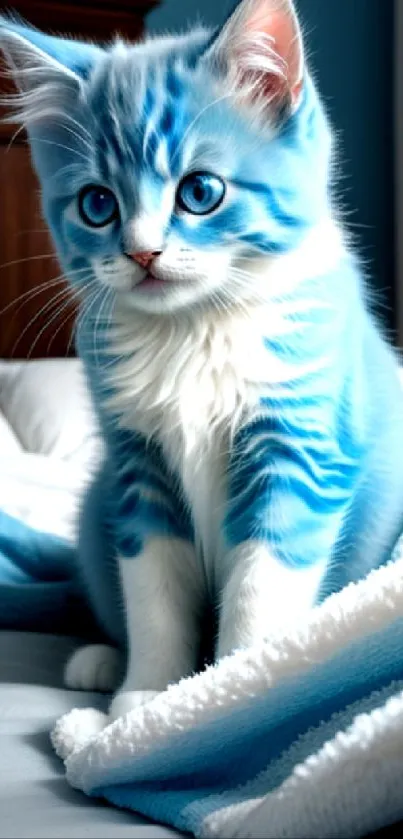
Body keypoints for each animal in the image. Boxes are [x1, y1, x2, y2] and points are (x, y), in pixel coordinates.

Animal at [0, 0, 403, 720]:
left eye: (200, 192)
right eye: (97, 204)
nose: (142, 252)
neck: (194, 329)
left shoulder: (297, 446)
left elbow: (261, 587)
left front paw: (224, 694)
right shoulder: (136, 467)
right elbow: (153, 589)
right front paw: (150, 692)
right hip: (94, 505)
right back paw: (104, 660)